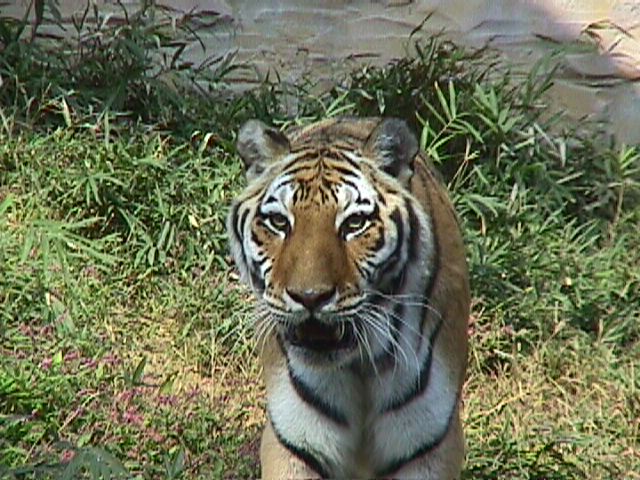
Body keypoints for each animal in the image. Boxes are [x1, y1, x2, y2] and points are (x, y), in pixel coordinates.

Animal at [226, 117, 470, 480]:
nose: (309, 297)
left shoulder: (430, 448)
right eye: (279, 222)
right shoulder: (293, 444)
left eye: (354, 223)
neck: (360, 369)